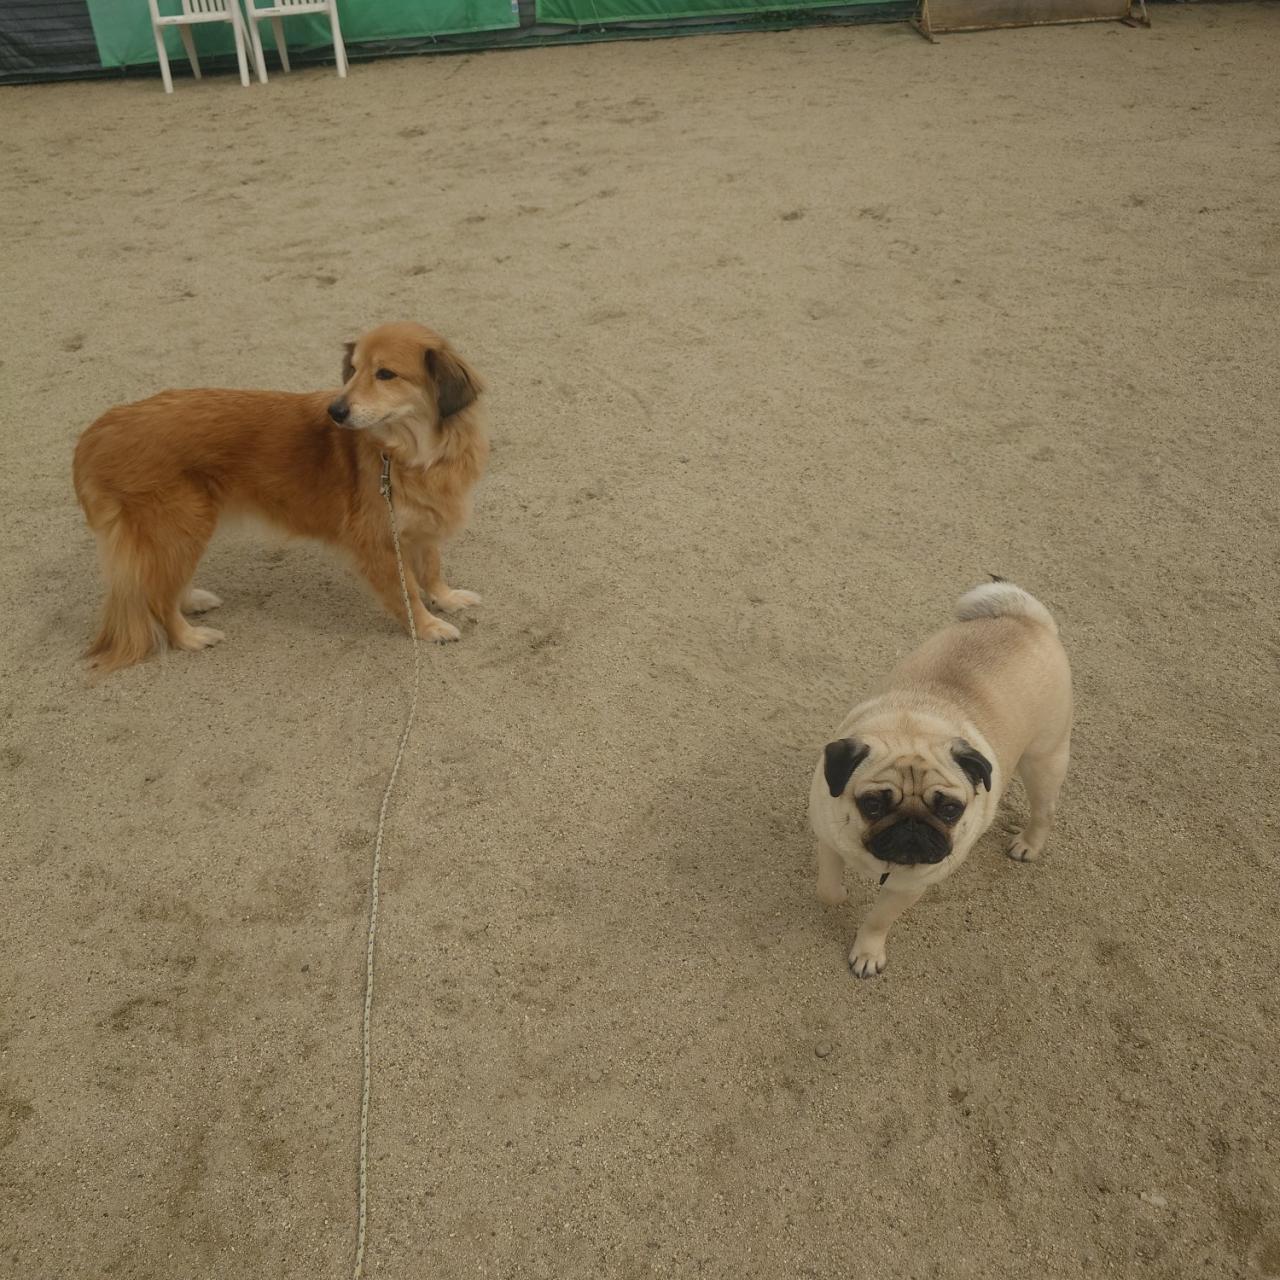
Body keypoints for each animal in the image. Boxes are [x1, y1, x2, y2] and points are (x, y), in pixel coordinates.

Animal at [72, 322, 488, 672]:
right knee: (157, 597)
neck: (411, 454)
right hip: (181, 527)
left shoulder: (422, 526)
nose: (335, 411)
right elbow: (408, 594)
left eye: (385, 374)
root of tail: (98, 433)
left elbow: (431, 569)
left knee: (163, 584)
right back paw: (189, 637)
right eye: (353, 370)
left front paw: (447, 598)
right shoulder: (379, 542)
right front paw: (429, 626)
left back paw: (192, 600)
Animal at [809, 580, 1072, 978]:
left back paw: (1027, 845)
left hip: (1044, 760)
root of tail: (1027, 621)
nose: (912, 825)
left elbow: (878, 920)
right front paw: (839, 896)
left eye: (950, 809)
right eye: (873, 804)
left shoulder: (908, 886)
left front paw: (868, 952)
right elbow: (826, 888)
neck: (912, 729)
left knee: (1044, 810)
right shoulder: (828, 839)